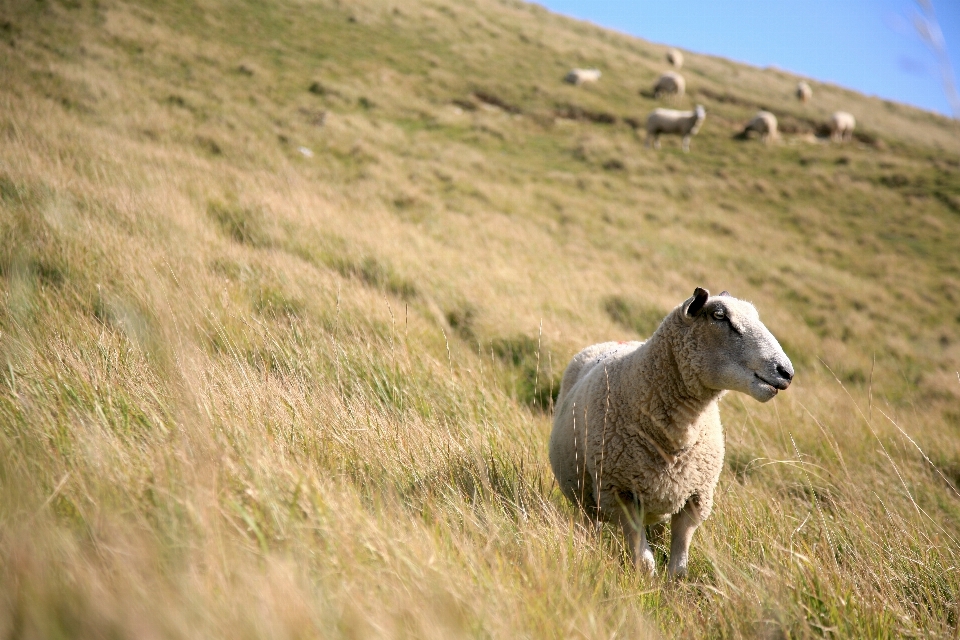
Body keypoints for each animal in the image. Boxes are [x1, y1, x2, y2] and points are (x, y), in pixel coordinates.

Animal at [552, 290, 792, 580]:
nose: (785, 372)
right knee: (590, 524)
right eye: (719, 316)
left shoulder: (695, 500)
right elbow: (644, 562)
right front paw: (644, 585)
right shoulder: (619, 493)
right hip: (586, 496)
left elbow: (678, 568)